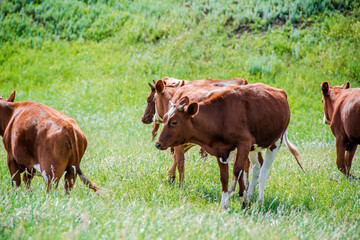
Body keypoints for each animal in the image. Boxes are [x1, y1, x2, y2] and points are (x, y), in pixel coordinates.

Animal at [155, 84, 304, 208]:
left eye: (174, 122)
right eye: (165, 119)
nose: (158, 144)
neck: (221, 117)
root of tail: (280, 92)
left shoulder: (244, 143)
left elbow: (238, 171)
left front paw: (243, 202)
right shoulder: (221, 149)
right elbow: (224, 176)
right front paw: (225, 204)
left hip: (275, 143)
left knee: (264, 171)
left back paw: (259, 200)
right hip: (254, 148)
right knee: (256, 168)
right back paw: (250, 195)